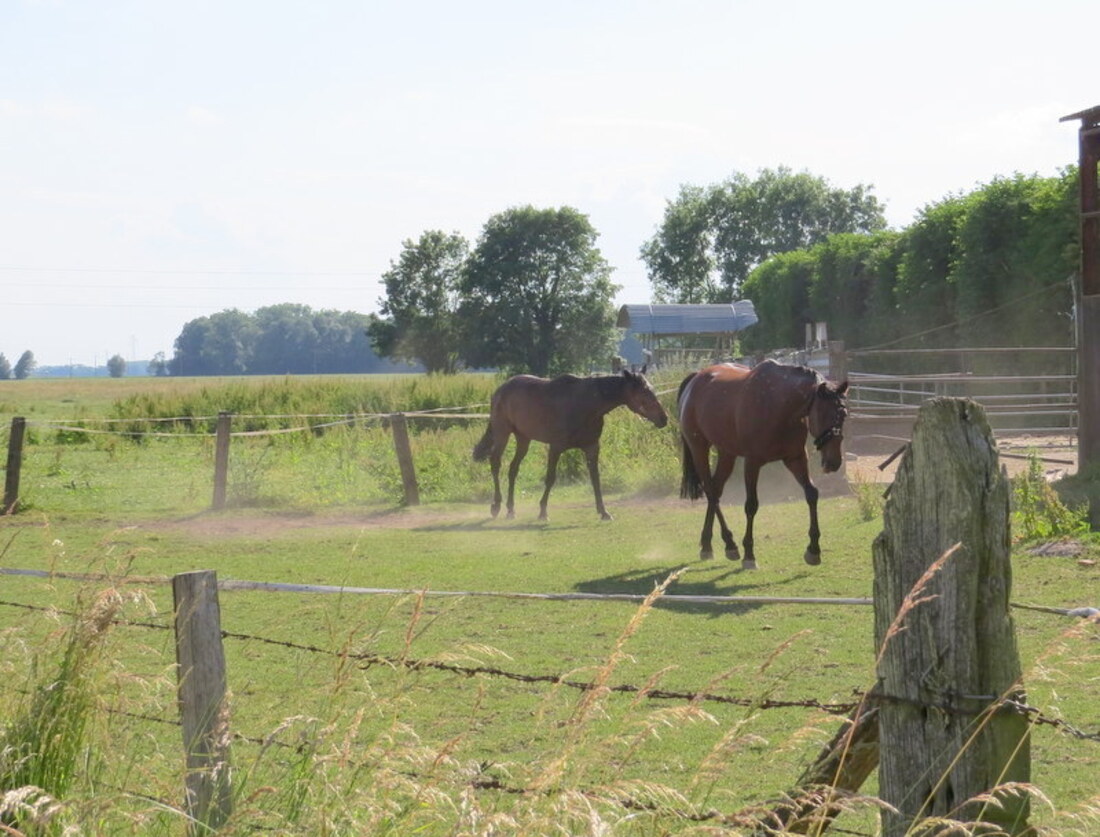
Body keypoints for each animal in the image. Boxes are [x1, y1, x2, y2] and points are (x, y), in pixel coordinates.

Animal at [475, 369, 668, 519]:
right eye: (643, 393)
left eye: (652, 390)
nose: (663, 418)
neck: (585, 405)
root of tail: (500, 390)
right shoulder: (555, 447)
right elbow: (550, 478)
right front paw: (543, 512)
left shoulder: (592, 448)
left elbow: (595, 479)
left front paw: (604, 511)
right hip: (502, 433)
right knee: (495, 463)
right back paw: (496, 506)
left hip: (523, 438)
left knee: (513, 469)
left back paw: (510, 510)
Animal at [677, 358, 849, 567]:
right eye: (824, 413)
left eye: (844, 414)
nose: (834, 462)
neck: (778, 404)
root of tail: (695, 379)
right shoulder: (752, 463)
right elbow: (751, 505)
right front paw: (749, 554)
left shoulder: (796, 458)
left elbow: (812, 494)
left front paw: (813, 549)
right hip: (699, 449)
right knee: (711, 492)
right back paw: (729, 544)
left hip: (727, 454)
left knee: (715, 492)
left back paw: (709, 544)